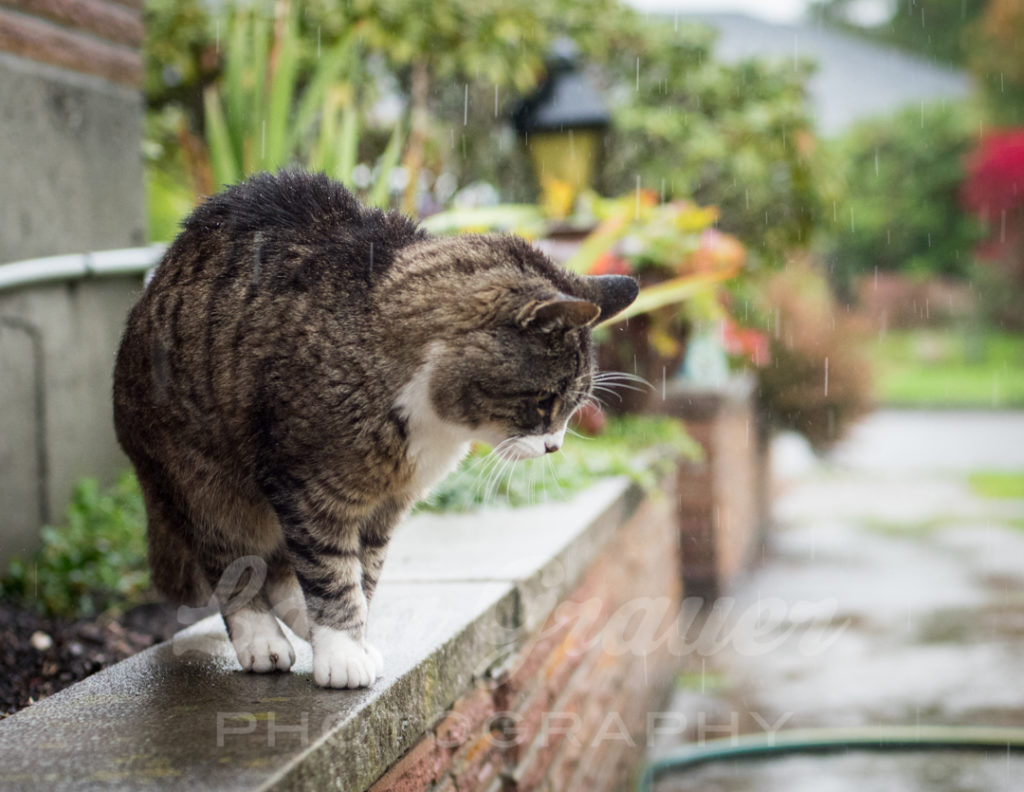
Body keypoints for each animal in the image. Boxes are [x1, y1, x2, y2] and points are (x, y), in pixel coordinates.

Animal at [116, 171, 634, 684]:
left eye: (572, 407)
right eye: (545, 402)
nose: (554, 447)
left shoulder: (385, 505)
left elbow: (362, 574)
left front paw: (352, 636)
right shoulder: (308, 488)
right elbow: (329, 572)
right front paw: (343, 653)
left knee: (279, 565)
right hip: (203, 480)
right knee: (233, 562)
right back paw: (261, 639)